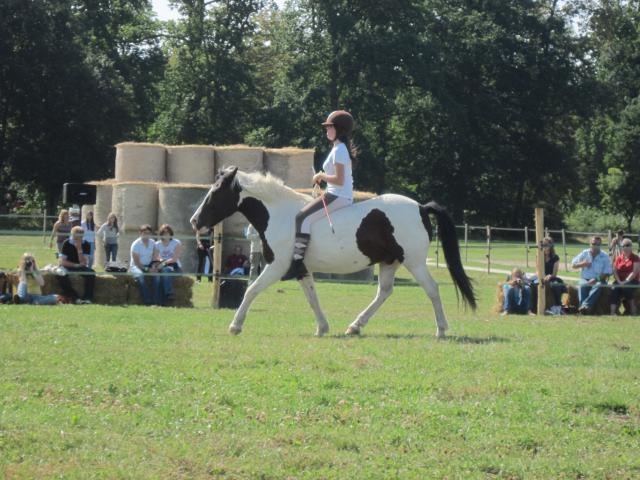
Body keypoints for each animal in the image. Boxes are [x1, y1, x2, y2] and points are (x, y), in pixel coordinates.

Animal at [190, 167, 476, 340]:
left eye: (215, 192)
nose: (194, 222)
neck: (280, 214)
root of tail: (420, 207)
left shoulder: (277, 266)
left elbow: (251, 290)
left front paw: (235, 325)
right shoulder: (301, 269)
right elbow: (312, 297)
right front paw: (322, 327)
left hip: (414, 262)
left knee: (432, 289)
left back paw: (441, 329)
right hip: (389, 262)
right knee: (384, 292)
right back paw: (355, 326)